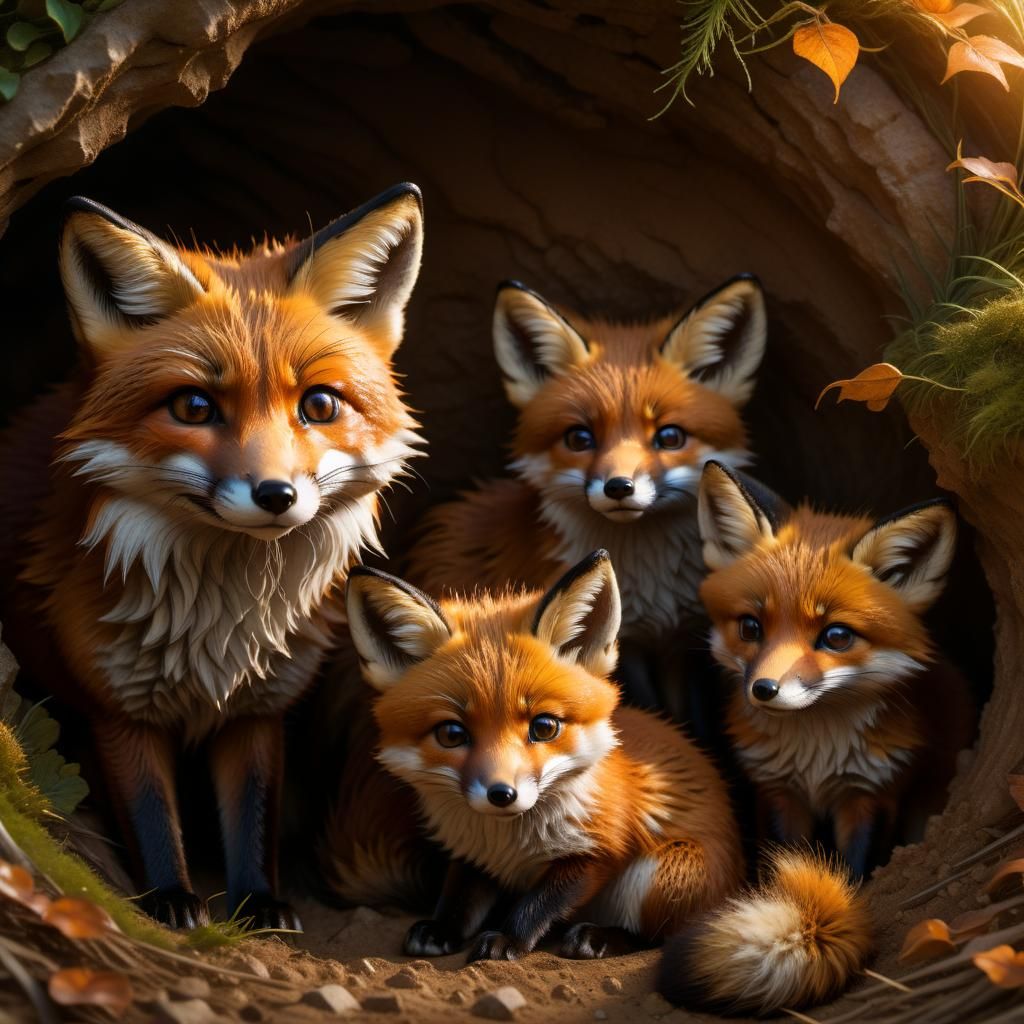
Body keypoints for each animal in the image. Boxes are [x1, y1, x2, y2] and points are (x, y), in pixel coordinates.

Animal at [0, 183, 425, 930]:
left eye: (320, 404)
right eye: (194, 407)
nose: (276, 494)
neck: (223, 632)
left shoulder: (260, 707)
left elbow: (252, 813)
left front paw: (259, 900)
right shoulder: (119, 709)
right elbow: (149, 813)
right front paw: (170, 898)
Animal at [343, 550, 872, 1014]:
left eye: (544, 727)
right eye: (452, 734)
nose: (502, 795)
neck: (508, 842)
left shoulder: (597, 849)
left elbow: (537, 904)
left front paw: (509, 939)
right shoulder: (473, 855)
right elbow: (461, 896)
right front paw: (442, 929)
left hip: (662, 873)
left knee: (662, 937)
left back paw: (600, 938)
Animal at [405, 276, 767, 704]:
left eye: (670, 437)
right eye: (580, 438)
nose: (619, 487)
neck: (649, 591)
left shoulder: (677, 642)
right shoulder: (624, 647)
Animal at [696, 460, 976, 879]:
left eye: (837, 636)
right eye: (750, 627)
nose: (764, 689)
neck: (816, 756)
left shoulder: (872, 791)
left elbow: (856, 867)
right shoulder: (777, 791)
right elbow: (783, 859)